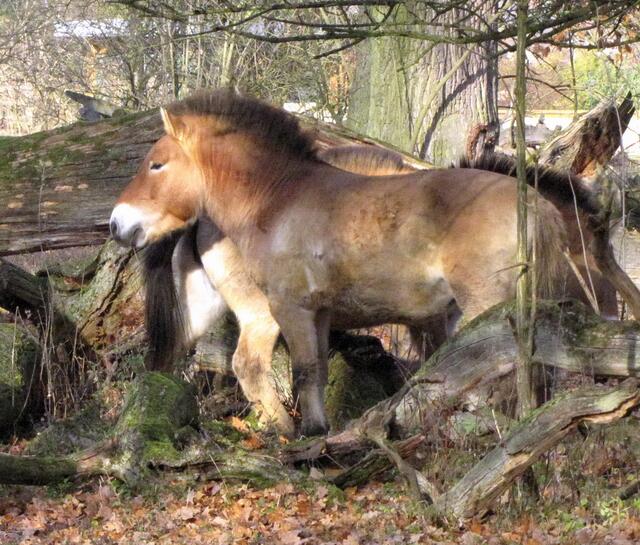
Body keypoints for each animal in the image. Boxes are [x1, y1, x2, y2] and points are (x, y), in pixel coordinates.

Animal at [111, 89, 600, 436]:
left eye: (157, 165)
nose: (118, 223)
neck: (278, 200)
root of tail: (534, 205)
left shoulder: (291, 309)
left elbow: (306, 372)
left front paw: (310, 433)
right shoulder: (318, 313)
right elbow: (316, 371)